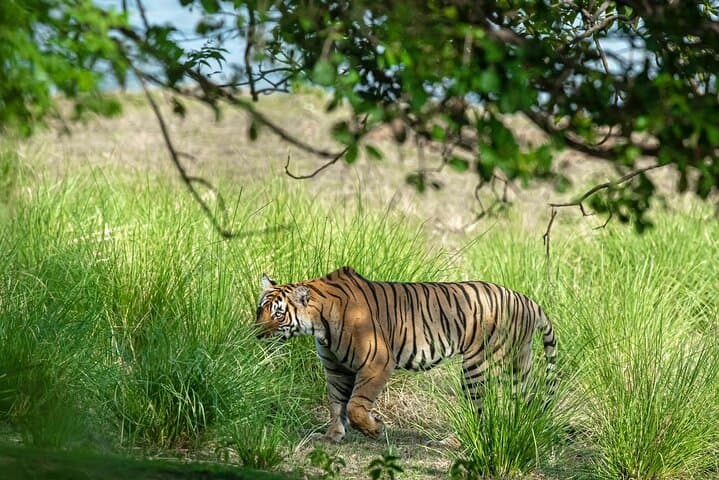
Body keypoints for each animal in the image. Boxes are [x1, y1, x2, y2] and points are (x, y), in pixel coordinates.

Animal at [255, 266, 556, 443]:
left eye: (278, 314)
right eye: (260, 309)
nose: (256, 334)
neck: (319, 325)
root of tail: (526, 299)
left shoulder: (377, 361)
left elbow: (355, 406)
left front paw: (374, 430)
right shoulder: (336, 368)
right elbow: (336, 403)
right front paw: (332, 435)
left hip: (478, 365)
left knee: (478, 407)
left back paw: (455, 441)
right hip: (518, 363)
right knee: (525, 399)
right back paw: (524, 428)